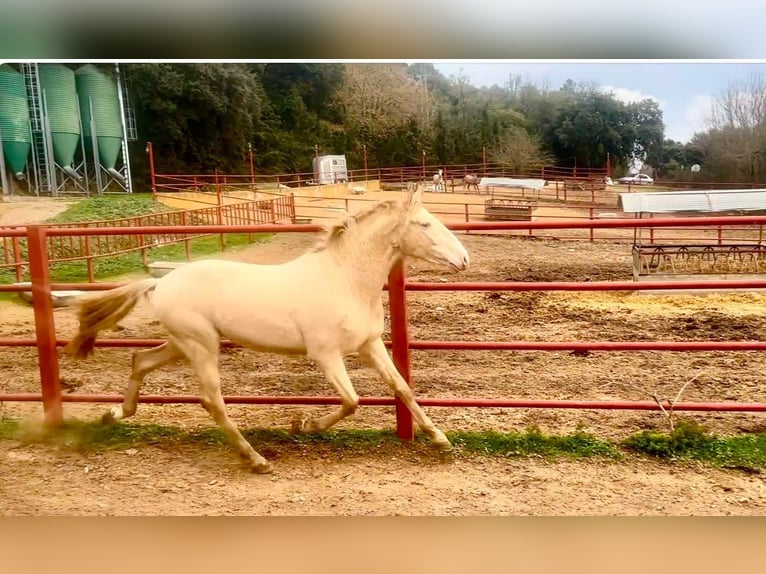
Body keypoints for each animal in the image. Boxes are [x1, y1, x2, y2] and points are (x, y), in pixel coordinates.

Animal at [66, 186, 472, 476]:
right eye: (424, 224)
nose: (464, 259)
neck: (344, 279)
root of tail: (158, 283)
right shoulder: (325, 355)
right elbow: (351, 401)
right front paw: (302, 424)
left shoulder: (369, 345)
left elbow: (402, 388)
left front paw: (439, 439)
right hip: (201, 346)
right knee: (211, 400)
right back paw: (256, 459)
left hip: (185, 342)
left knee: (140, 360)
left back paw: (113, 415)